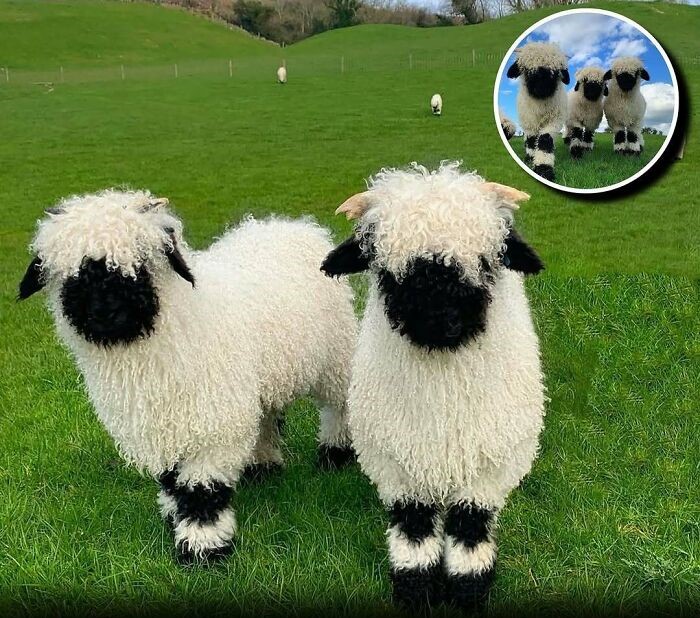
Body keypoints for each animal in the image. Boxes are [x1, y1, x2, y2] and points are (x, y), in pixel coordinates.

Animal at [18, 190, 357, 563]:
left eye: (141, 264)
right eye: (73, 274)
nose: (106, 312)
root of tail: (287, 225)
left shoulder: (210, 424)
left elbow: (201, 490)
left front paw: (203, 547)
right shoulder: (167, 424)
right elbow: (171, 479)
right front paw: (173, 514)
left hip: (335, 359)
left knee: (338, 407)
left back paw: (335, 455)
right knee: (266, 417)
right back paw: (262, 465)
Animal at [321, 162, 546, 610]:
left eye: (486, 264)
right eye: (386, 271)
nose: (442, 323)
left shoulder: (486, 469)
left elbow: (470, 526)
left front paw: (468, 591)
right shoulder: (396, 465)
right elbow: (414, 528)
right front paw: (416, 590)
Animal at [507, 42, 570, 181]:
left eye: (555, 72)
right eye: (527, 71)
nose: (542, 89)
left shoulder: (554, 120)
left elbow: (545, 139)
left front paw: (544, 169)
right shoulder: (529, 122)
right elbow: (531, 141)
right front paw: (531, 159)